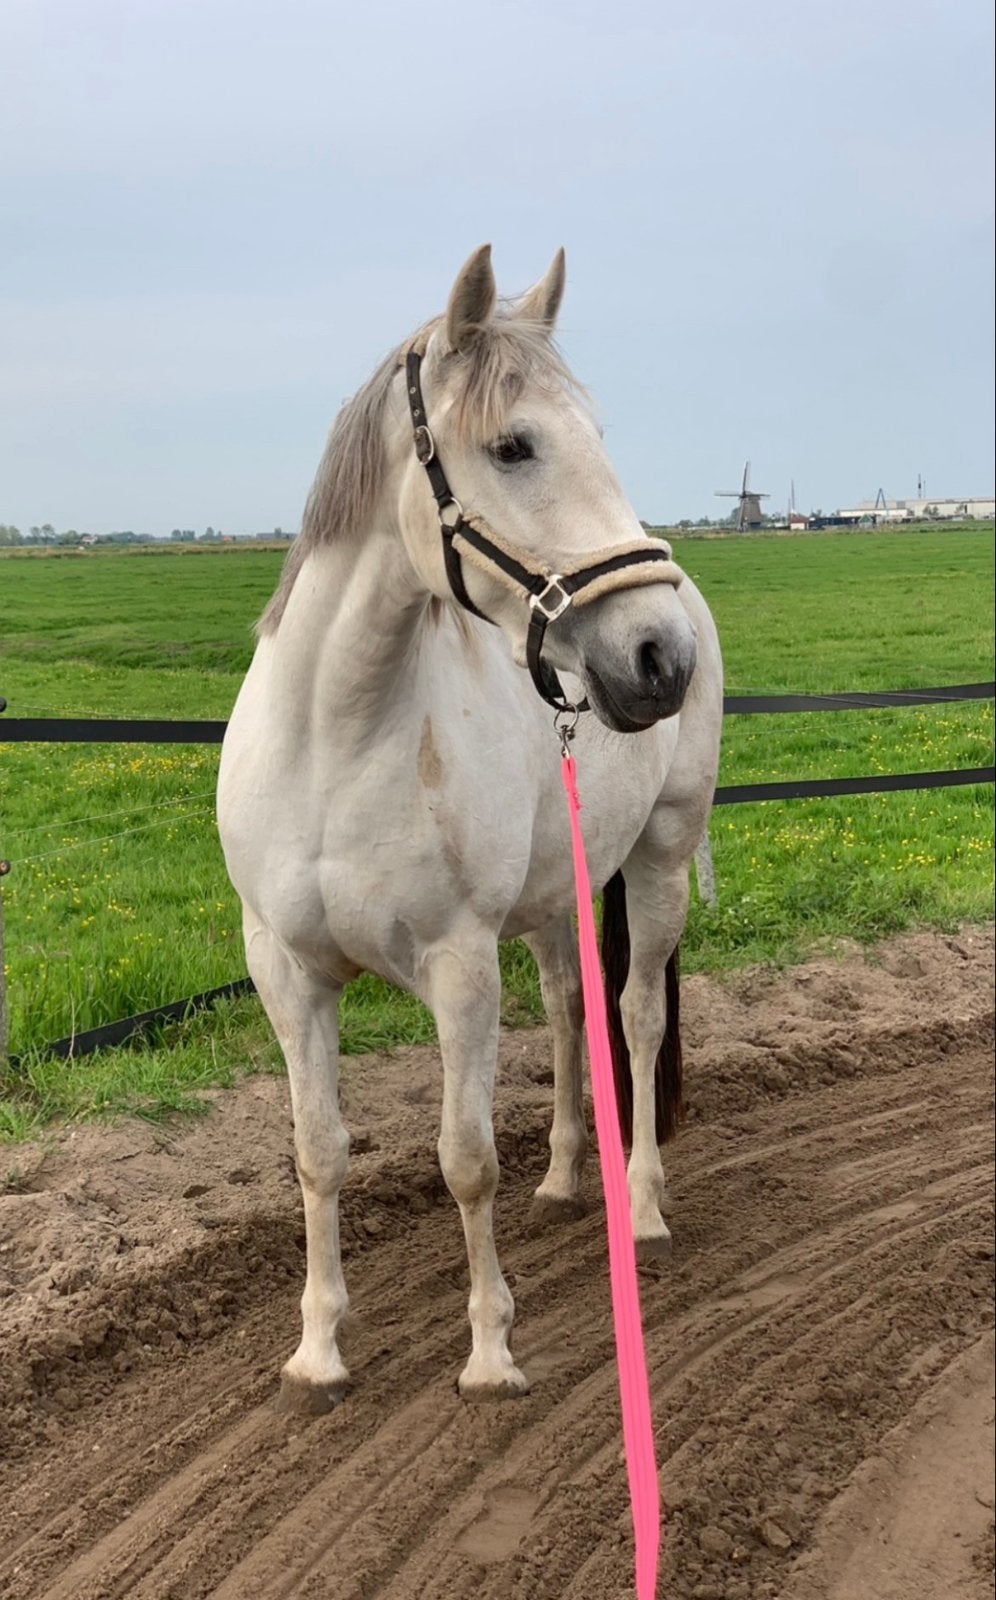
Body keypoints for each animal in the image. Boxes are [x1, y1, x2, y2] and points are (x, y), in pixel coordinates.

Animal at [217, 245, 723, 1414]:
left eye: (595, 434)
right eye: (513, 444)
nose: (658, 656)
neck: (337, 738)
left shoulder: (458, 965)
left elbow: (465, 1157)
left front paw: (491, 1351)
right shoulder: (287, 972)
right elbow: (317, 1151)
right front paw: (318, 1348)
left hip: (660, 862)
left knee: (633, 1018)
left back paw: (640, 1204)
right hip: (554, 899)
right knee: (573, 1008)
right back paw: (570, 1177)